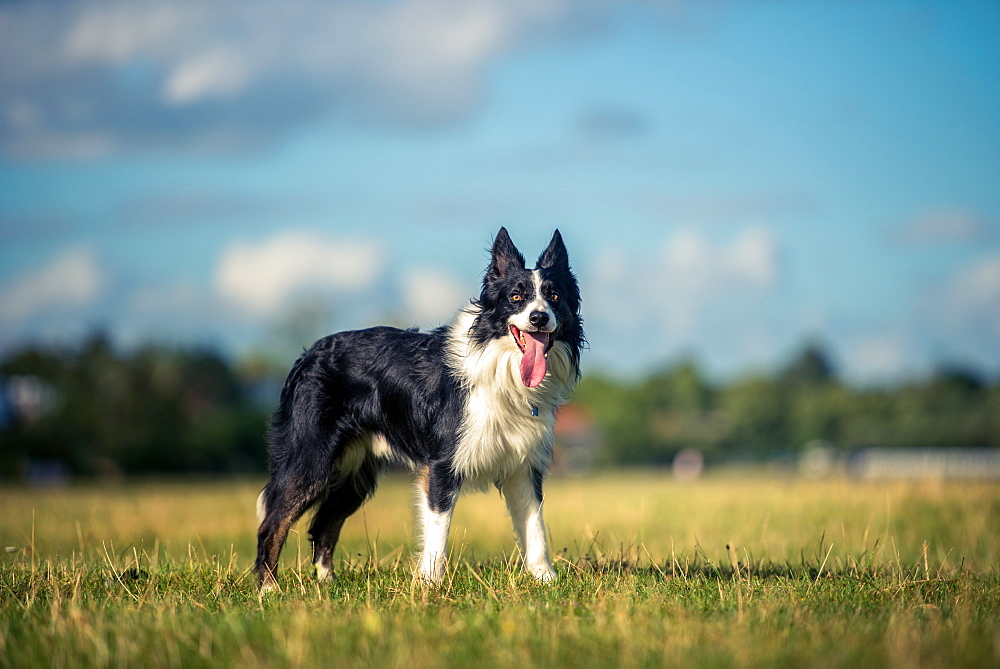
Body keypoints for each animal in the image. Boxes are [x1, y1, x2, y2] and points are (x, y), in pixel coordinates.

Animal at [256, 227, 584, 588]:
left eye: (554, 296)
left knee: (323, 524)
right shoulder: (441, 465)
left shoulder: (523, 466)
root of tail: (307, 356)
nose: (539, 317)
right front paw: (431, 584)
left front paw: (546, 580)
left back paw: (326, 584)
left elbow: (535, 527)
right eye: (515, 297)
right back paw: (269, 589)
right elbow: (438, 531)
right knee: (273, 522)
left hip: (355, 475)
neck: (501, 367)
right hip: (311, 459)